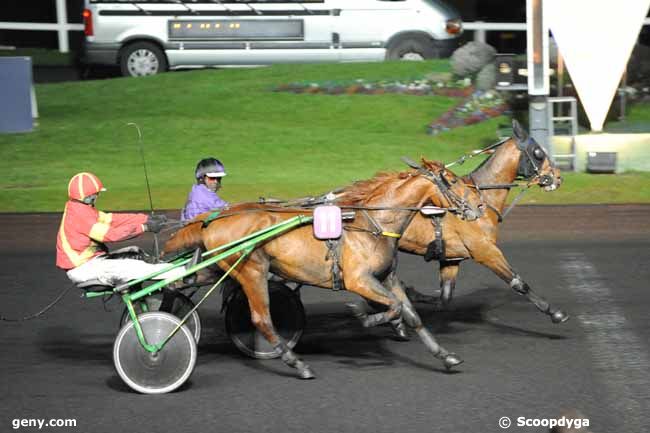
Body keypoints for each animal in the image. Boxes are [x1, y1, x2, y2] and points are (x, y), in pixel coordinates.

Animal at [165, 159, 484, 378]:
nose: (479, 206)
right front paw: (364, 316)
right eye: (452, 180)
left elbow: (412, 314)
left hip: (219, 267)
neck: (372, 223)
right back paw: (297, 364)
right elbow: (392, 307)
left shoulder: (387, 277)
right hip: (252, 270)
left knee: (177, 283)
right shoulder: (359, 280)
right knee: (262, 319)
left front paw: (445, 356)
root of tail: (212, 219)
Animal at [394, 120, 568, 322]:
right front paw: (554, 312)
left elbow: (444, 297)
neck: (479, 200)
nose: (558, 177)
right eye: (538, 152)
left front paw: (411, 293)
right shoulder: (485, 250)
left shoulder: (451, 258)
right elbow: (518, 282)